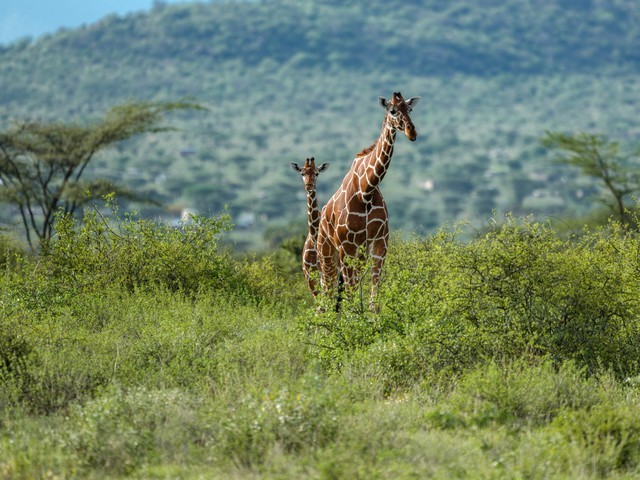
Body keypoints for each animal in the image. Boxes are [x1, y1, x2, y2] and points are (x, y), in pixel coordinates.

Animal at [316, 92, 418, 312]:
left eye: (410, 109)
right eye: (392, 110)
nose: (412, 132)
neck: (366, 190)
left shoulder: (379, 241)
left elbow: (373, 296)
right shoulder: (347, 246)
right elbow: (350, 295)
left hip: (357, 254)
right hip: (326, 251)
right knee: (326, 291)